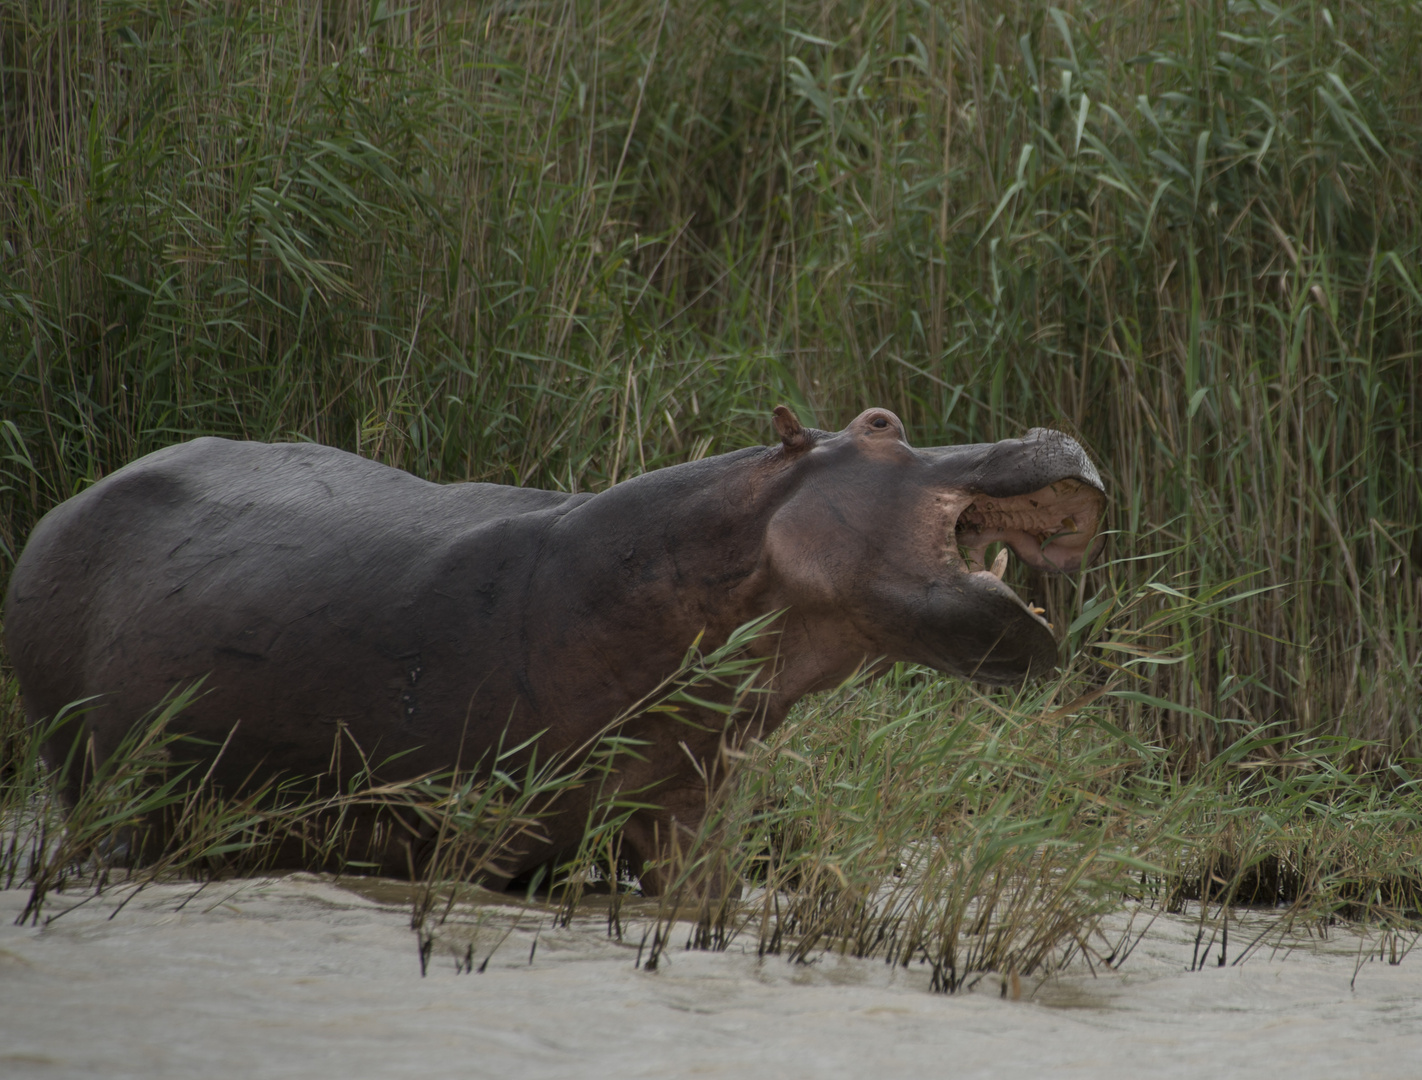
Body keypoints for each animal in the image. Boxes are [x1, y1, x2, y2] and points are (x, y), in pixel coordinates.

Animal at [5, 409, 1103, 893]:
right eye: (880, 424)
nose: (1054, 428)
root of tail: (61, 509)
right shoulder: (476, 833)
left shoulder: (692, 824)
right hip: (98, 780)